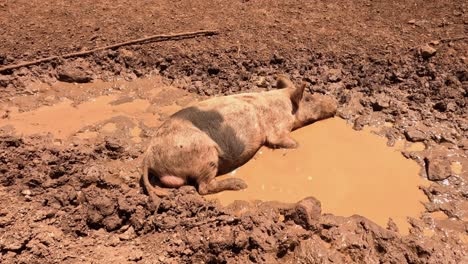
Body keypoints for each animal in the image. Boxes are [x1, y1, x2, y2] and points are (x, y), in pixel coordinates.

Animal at [143, 75, 336, 200]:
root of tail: (148, 157)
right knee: (203, 187)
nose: (334, 102)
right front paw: (299, 145)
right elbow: (286, 141)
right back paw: (241, 184)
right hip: (206, 155)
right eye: (309, 98)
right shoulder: (277, 128)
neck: (284, 104)